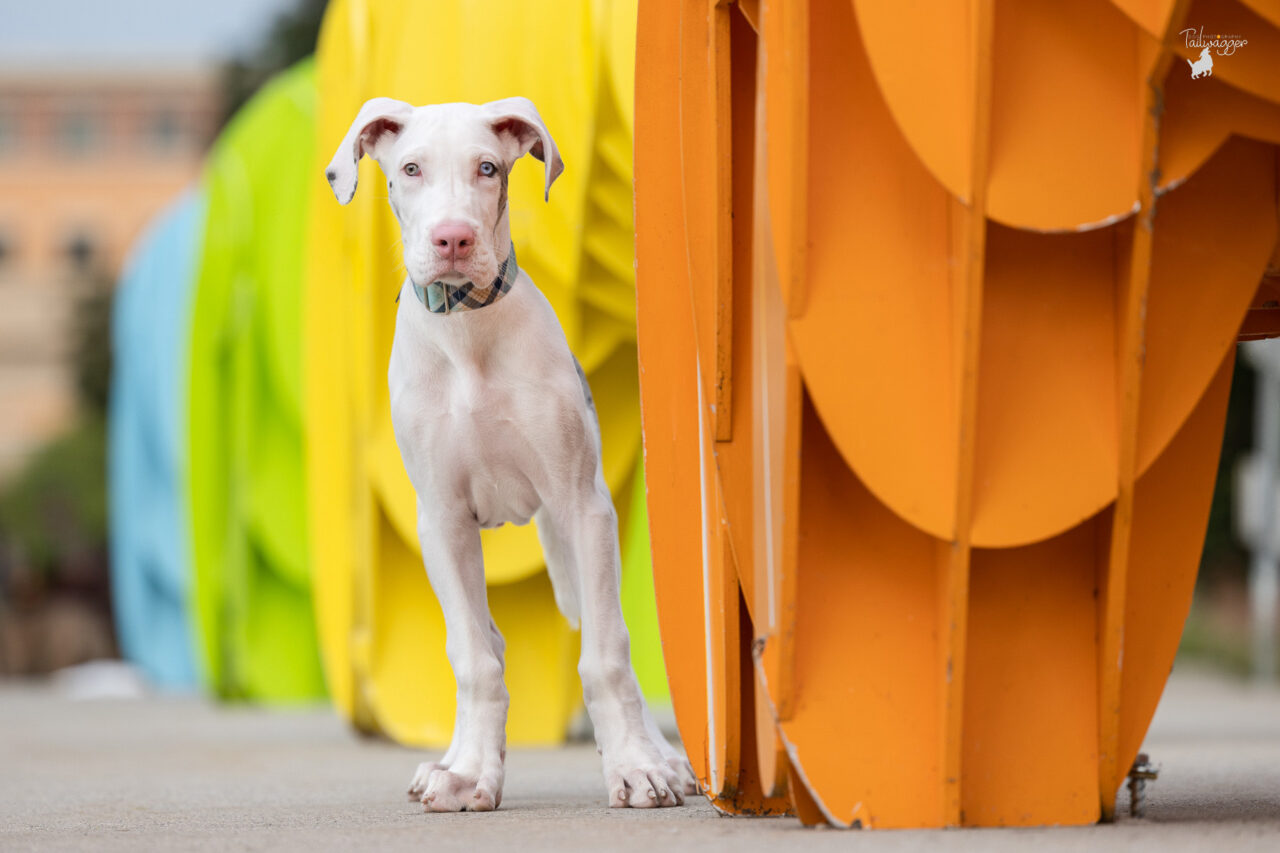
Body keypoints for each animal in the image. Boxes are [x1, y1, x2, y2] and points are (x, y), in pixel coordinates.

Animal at [325, 97, 696, 809]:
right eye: (410, 169)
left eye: (488, 168)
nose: (454, 240)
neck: (469, 333)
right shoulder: (441, 521)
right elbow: (475, 657)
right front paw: (470, 772)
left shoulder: (583, 506)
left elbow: (608, 654)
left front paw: (637, 766)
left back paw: (663, 758)